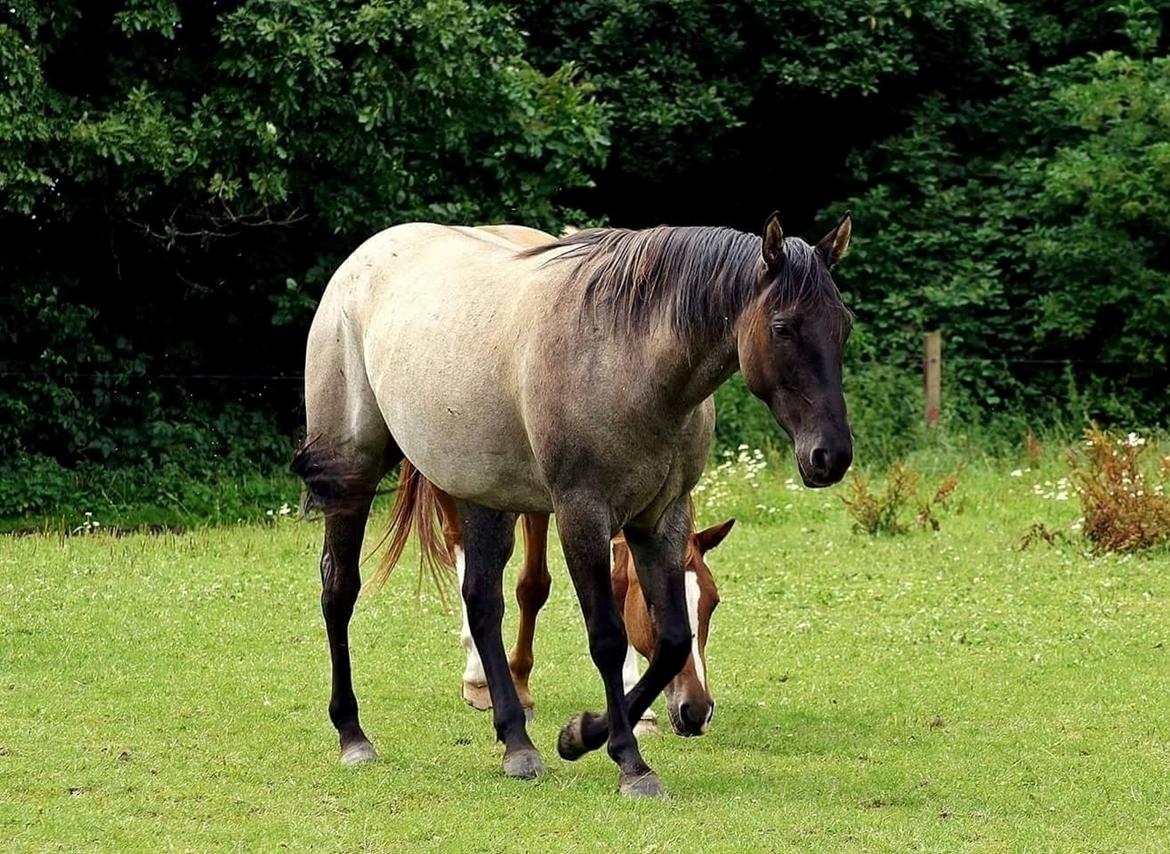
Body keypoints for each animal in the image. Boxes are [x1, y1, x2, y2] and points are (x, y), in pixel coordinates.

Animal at [379, 463, 734, 734]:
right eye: (651, 605)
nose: (697, 710)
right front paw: (520, 687)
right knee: (458, 539)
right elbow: (533, 585)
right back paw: (477, 676)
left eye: (713, 603)